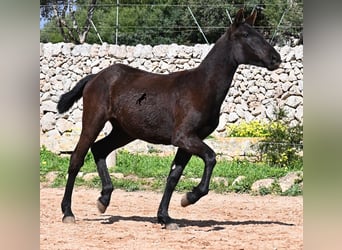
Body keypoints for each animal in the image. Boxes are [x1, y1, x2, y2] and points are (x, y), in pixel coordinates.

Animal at [56, 8, 280, 229]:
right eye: (245, 35)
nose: (276, 58)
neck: (201, 87)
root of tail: (94, 78)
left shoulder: (190, 141)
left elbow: (174, 176)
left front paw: (165, 217)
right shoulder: (183, 137)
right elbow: (211, 157)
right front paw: (189, 197)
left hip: (124, 131)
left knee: (100, 149)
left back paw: (104, 199)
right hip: (93, 122)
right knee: (76, 159)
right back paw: (68, 212)